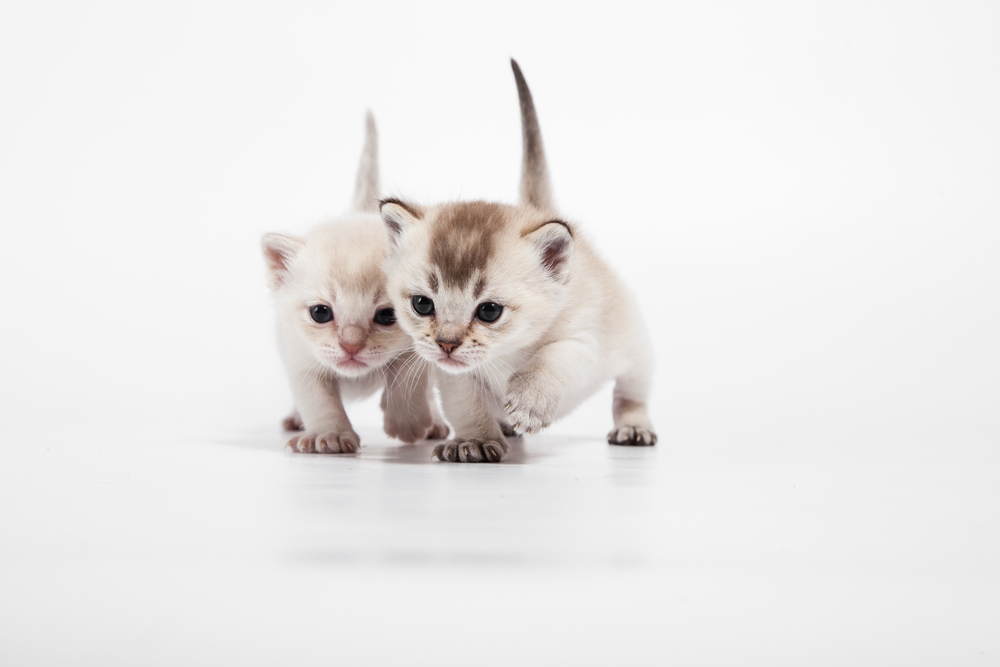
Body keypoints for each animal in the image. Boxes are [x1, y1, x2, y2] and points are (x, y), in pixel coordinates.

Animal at [262, 113, 446, 454]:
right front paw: (331, 435)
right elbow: (319, 400)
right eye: (320, 313)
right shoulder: (299, 357)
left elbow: (404, 378)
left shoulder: (424, 346)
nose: (351, 346)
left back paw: (435, 423)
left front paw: (408, 425)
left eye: (387, 316)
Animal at [378, 60, 660, 462]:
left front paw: (528, 404)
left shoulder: (583, 344)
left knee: (630, 393)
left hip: (636, 351)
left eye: (489, 311)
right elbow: (467, 404)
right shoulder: (451, 373)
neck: (505, 353)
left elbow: (551, 359)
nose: (447, 343)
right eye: (422, 304)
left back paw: (633, 427)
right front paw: (475, 441)